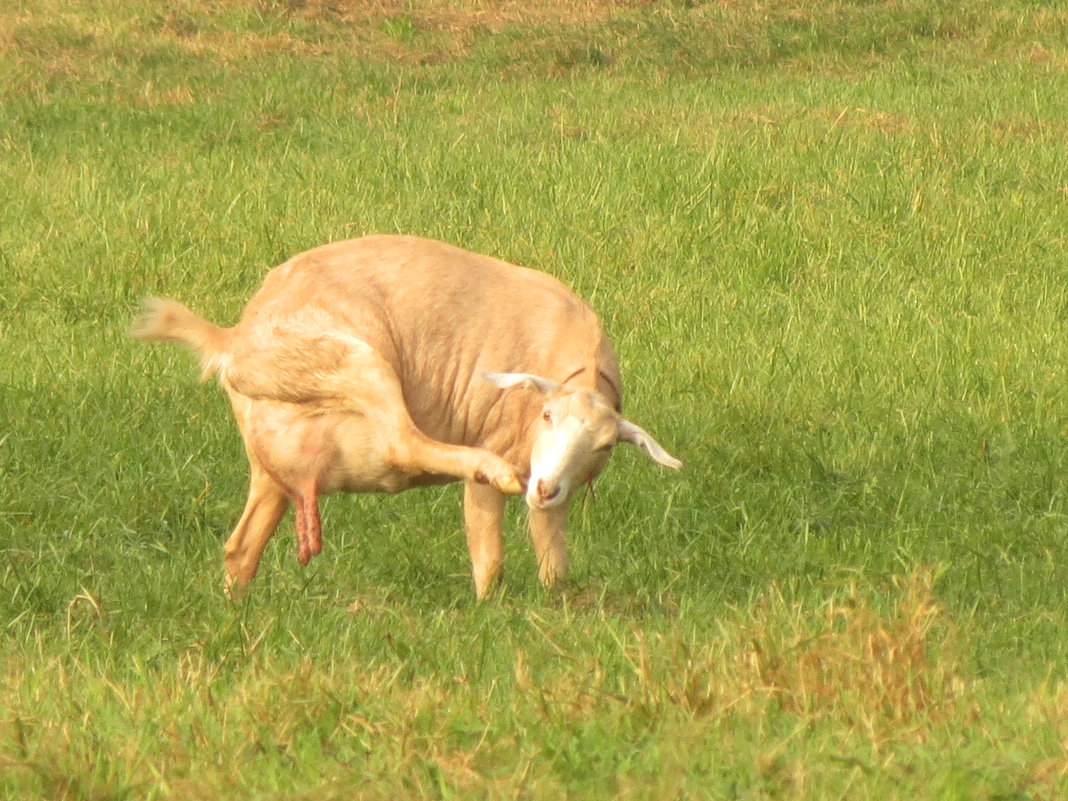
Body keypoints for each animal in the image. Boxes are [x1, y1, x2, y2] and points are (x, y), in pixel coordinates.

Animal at [135, 234, 683, 598]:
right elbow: (490, 555)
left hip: (273, 451)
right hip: (355, 359)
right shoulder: (506, 442)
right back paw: (488, 468)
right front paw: (489, 607)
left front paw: (554, 604)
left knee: (240, 545)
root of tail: (234, 338)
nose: (543, 487)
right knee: (402, 441)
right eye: (546, 415)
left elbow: (554, 560)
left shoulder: (559, 487)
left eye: (606, 444)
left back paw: (237, 607)